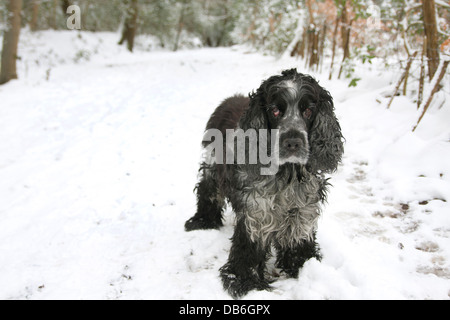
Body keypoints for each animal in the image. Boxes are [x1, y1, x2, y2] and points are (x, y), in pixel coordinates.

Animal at [185, 69, 342, 298]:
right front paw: (246, 282)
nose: (293, 142)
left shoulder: (301, 213)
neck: (286, 175)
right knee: (208, 190)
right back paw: (202, 221)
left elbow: (298, 249)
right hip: (213, 166)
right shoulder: (256, 213)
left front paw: (303, 268)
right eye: (275, 110)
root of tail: (230, 99)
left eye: (308, 110)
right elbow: (248, 253)